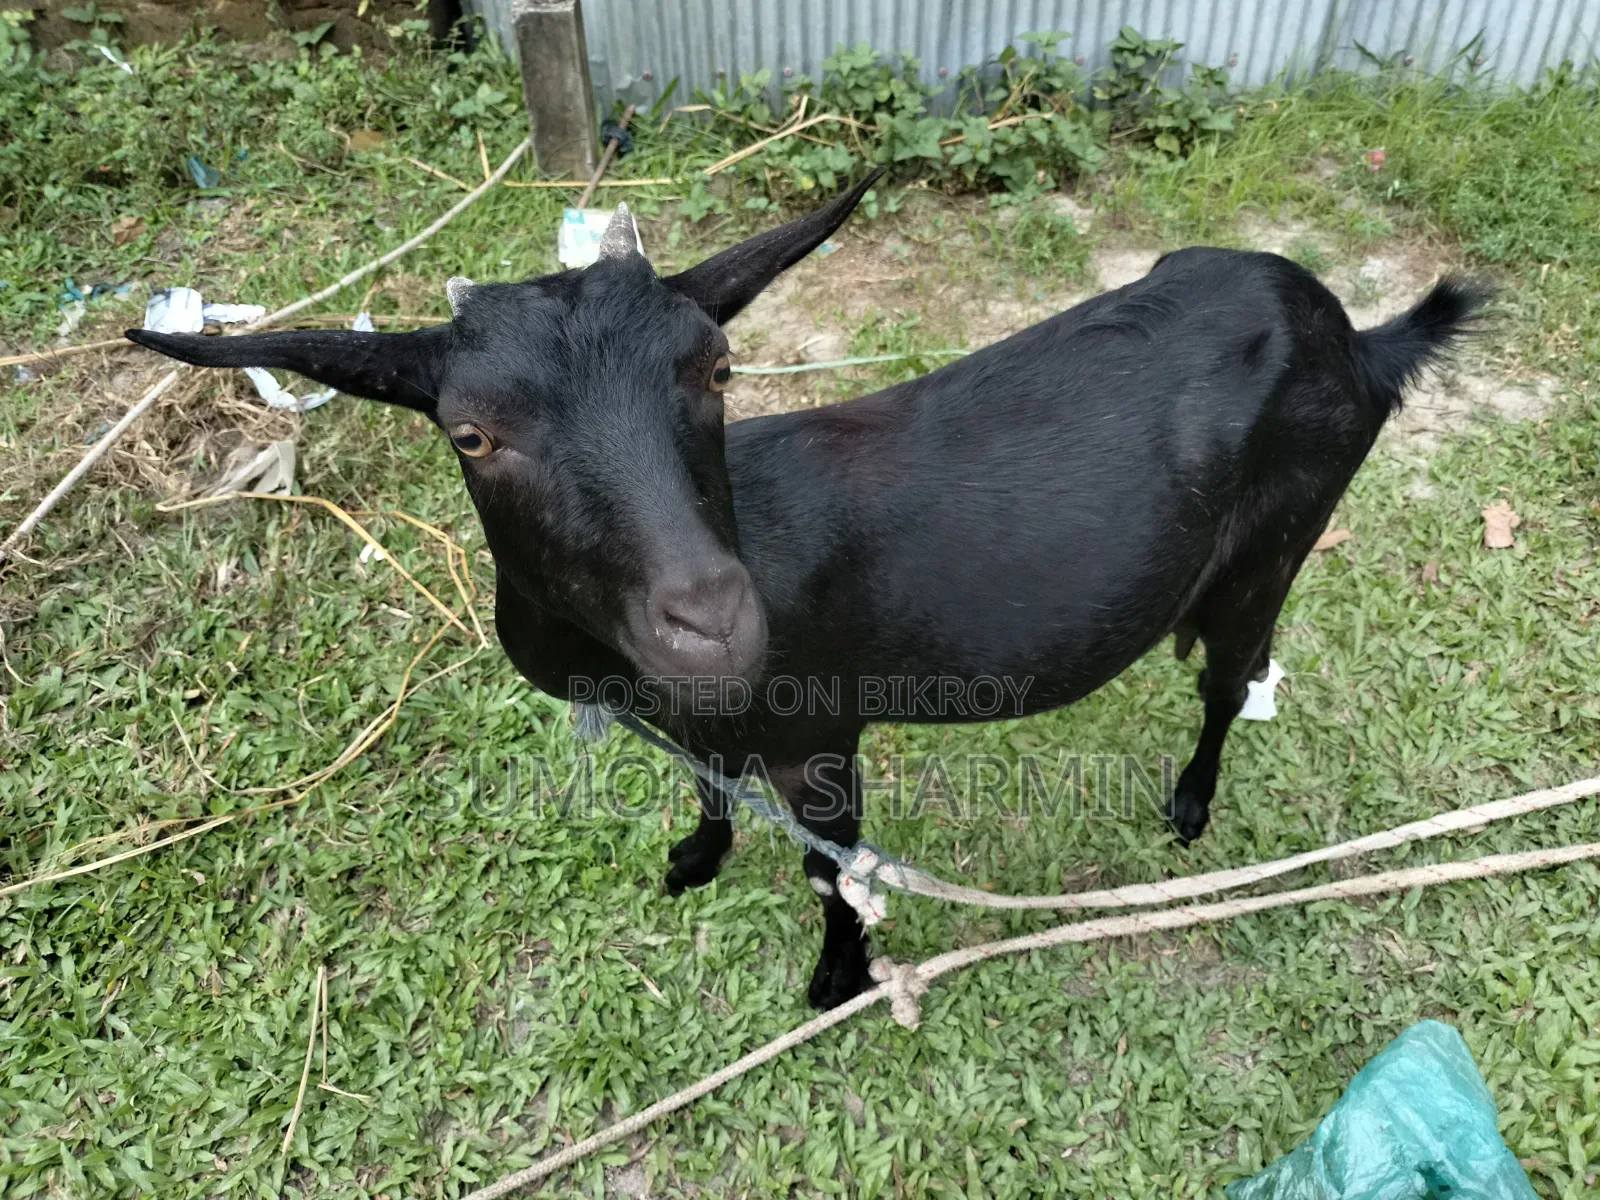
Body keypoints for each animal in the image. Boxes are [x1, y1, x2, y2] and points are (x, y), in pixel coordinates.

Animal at [127, 173, 1486, 1008]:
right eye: (470, 434)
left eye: (719, 370)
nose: (716, 619)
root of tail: (1360, 337)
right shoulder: (697, 719)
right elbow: (705, 788)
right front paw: (694, 856)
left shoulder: (822, 730)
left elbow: (830, 869)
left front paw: (837, 980)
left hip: (1282, 536)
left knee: (1228, 675)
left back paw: (1192, 805)